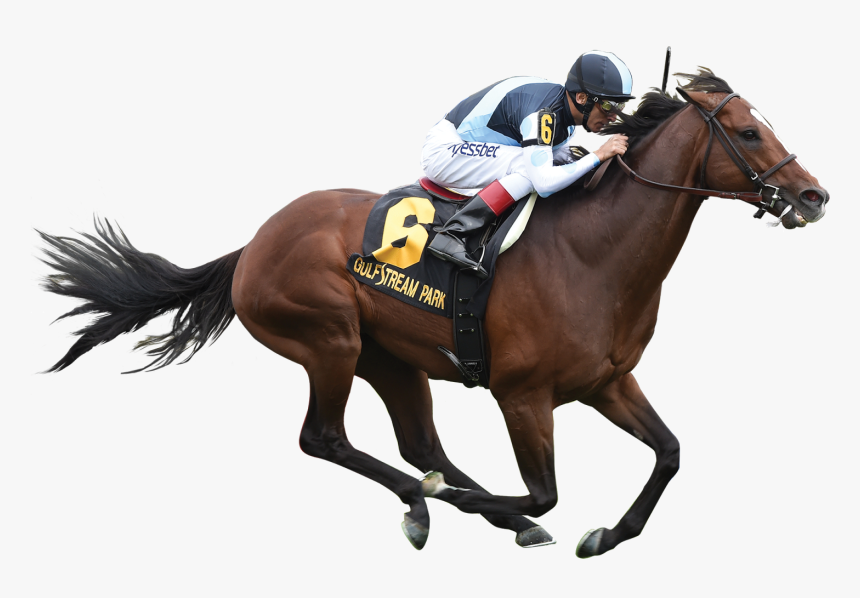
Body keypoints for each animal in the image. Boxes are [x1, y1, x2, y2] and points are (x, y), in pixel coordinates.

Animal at [38, 69, 829, 557]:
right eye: (749, 133)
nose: (815, 195)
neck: (593, 254)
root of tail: (255, 243)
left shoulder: (607, 382)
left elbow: (668, 453)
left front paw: (603, 535)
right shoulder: (523, 395)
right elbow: (544, 493)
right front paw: (506, 511)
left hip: (391, 359)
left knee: (422, 448)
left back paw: (448, 499)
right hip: (329, 339)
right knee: (325, 440)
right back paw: (433, 504)